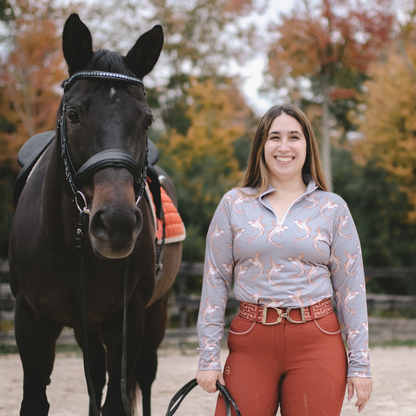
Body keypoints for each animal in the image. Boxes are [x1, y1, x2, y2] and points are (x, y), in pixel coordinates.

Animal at [8, 13, 181, 416]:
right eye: (72, 114)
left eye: (147, 120)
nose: (116, 223)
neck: (71, 246)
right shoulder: (31, 321)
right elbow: (36, 400)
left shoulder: (127, 320)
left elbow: (117, 401)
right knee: (95, 381)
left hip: (155, 314)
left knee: (143, 379)